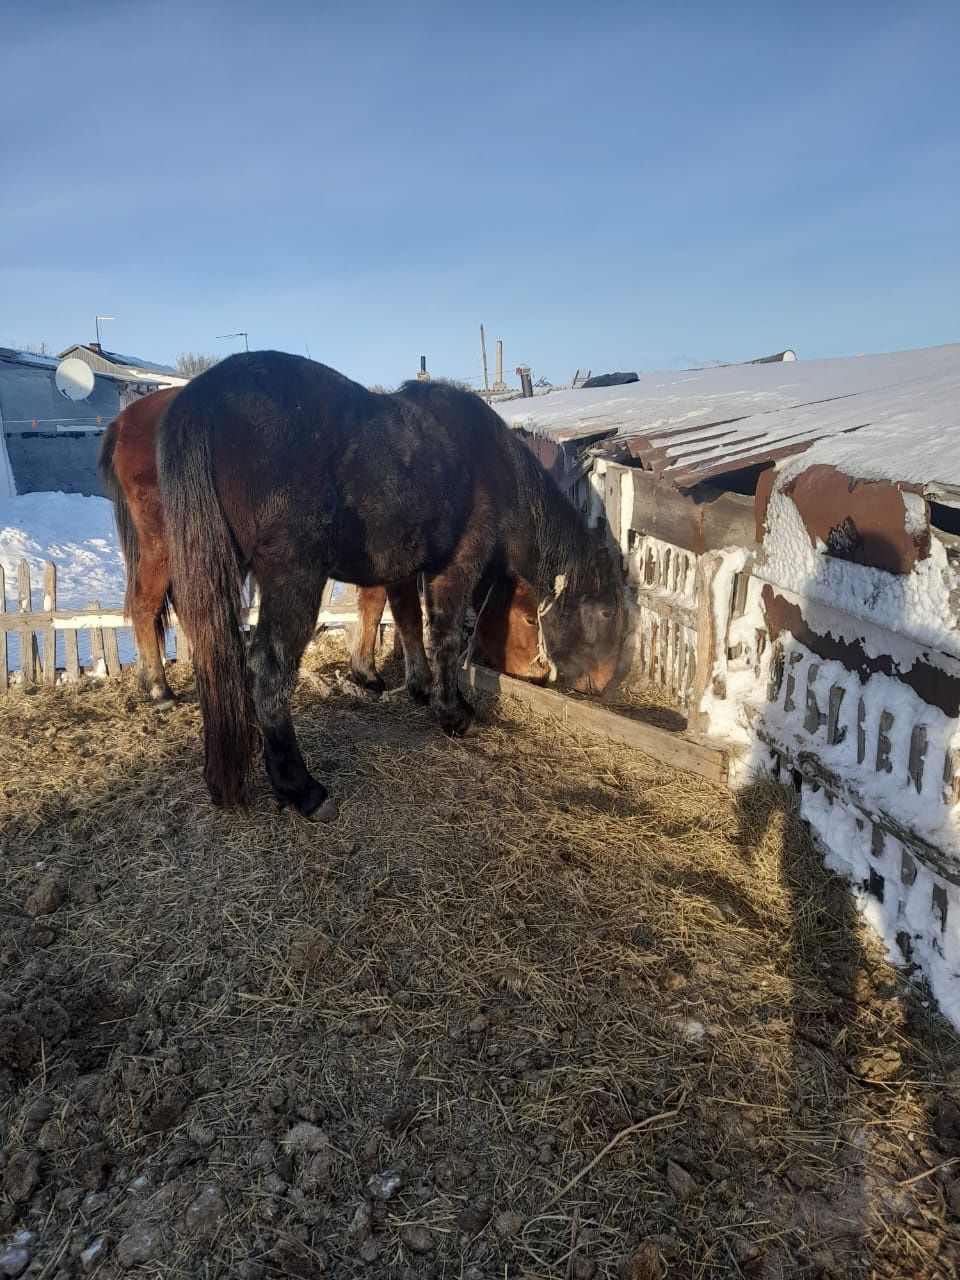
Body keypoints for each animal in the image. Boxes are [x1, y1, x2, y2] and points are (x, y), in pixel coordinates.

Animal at [156, 350, 624, 814]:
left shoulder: (402, 569)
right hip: (292, 579)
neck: (493, 464)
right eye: (606, 611)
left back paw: (223, 780)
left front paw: (419, 688)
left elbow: (408, 623)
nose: (602, 684)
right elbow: (444, 637)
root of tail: (204, 394)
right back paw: (301, 790)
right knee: (268, 669)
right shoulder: (456, 567)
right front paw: (452, 713)